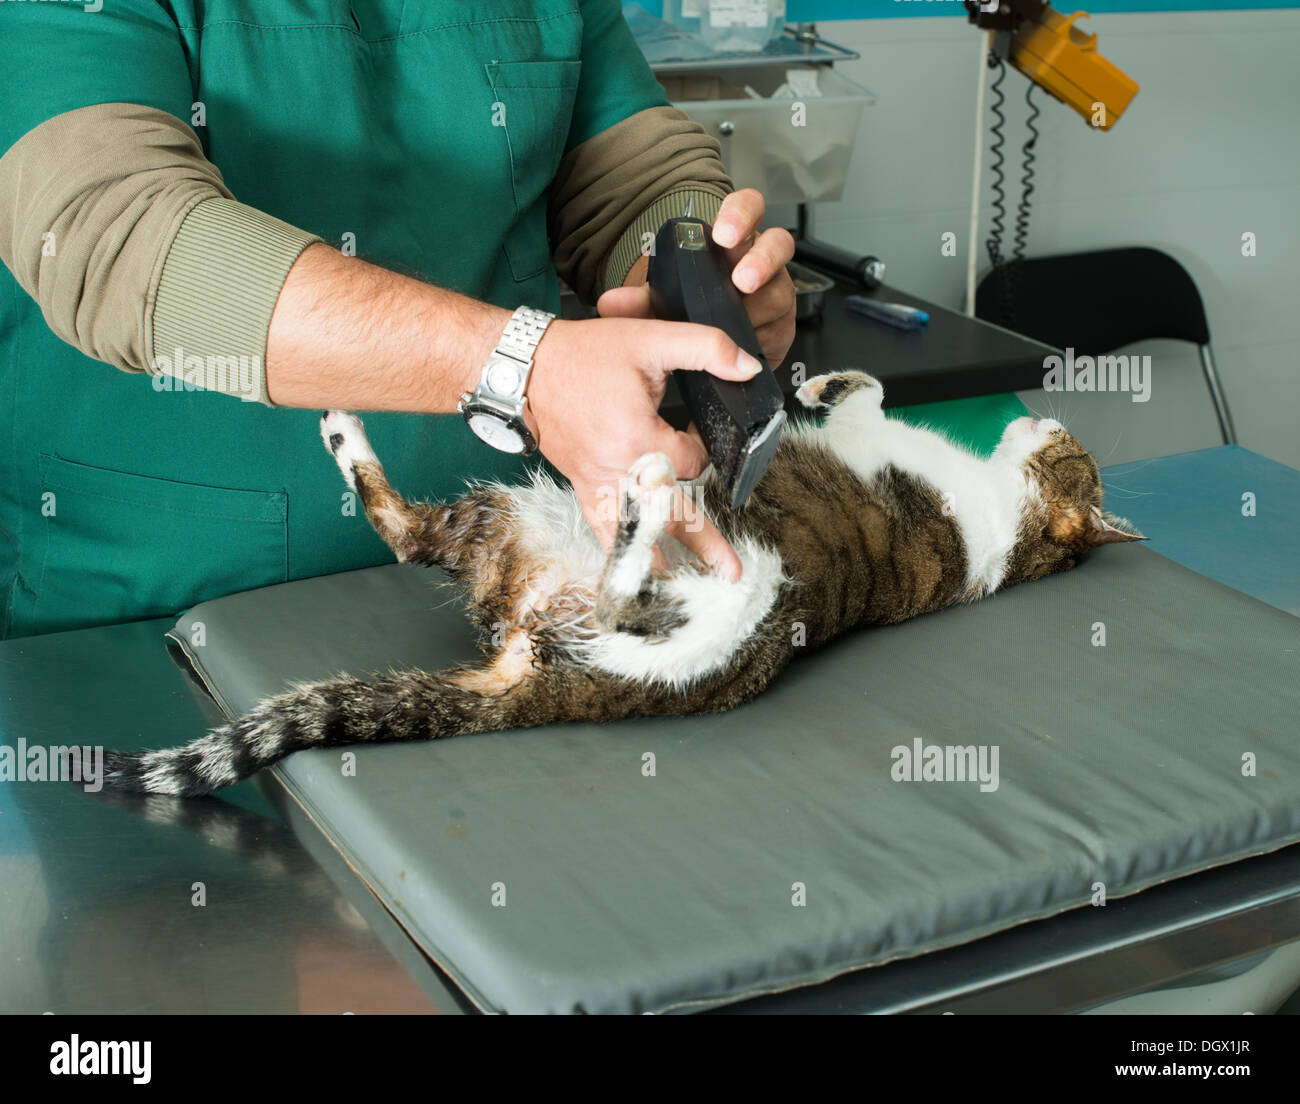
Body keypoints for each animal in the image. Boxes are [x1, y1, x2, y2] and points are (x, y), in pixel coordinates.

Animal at [101, 369, 1144, 790]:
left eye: (1067, 445)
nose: (1039, 416)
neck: (1009, 527)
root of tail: (541, 676)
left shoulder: (881, 447)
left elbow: (872, 400)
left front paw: (817, 386)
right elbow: (867, 389)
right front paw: (811, 378)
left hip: (721, 592)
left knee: (590, 584)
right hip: (518, 525)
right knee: (433, 544)